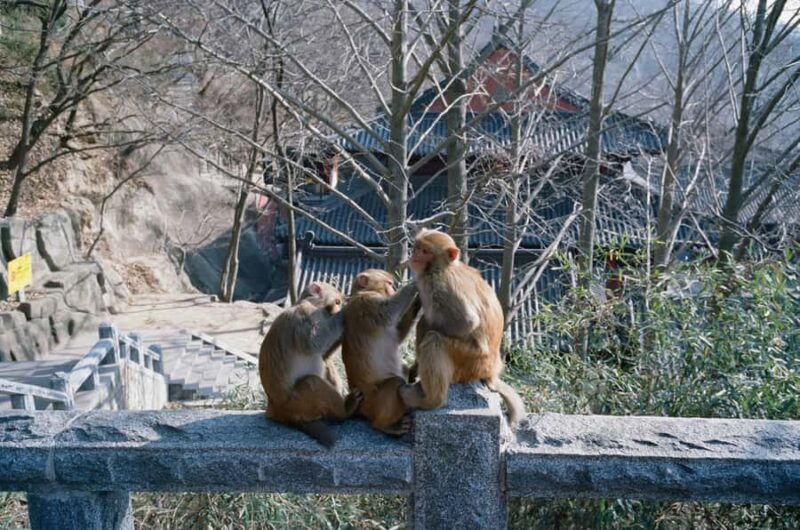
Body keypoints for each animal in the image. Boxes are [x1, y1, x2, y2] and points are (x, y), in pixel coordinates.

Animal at [258, 281, 362, 448]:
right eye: (337, 301)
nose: (339, 304)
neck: (315, 306)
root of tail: (276, 410)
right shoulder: (303, 315)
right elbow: (314, 342)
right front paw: (345, 310)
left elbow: (323, 353)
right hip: (297, 403)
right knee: (312, 382)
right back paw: (345, 411)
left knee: (325, 363)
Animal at [341, 269, 420, 436]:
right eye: (389, 283)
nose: (394, 291)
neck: (363, 292)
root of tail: (361, 409)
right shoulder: (366, 303)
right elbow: (388, 312)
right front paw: (416, 283)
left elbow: (398, 334)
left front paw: (418, 302)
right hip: (372, 400)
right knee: (395, 383)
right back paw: (385, 426)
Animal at [399, 229, 525, 428]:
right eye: (418, 247)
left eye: (425, 251)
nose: (414, 255)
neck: (442, 268)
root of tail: (491, 371)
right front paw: (414, 366)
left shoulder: (440, 285)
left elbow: (467, 322)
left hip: (471, 362)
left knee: (434, 339)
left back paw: (431, 400)